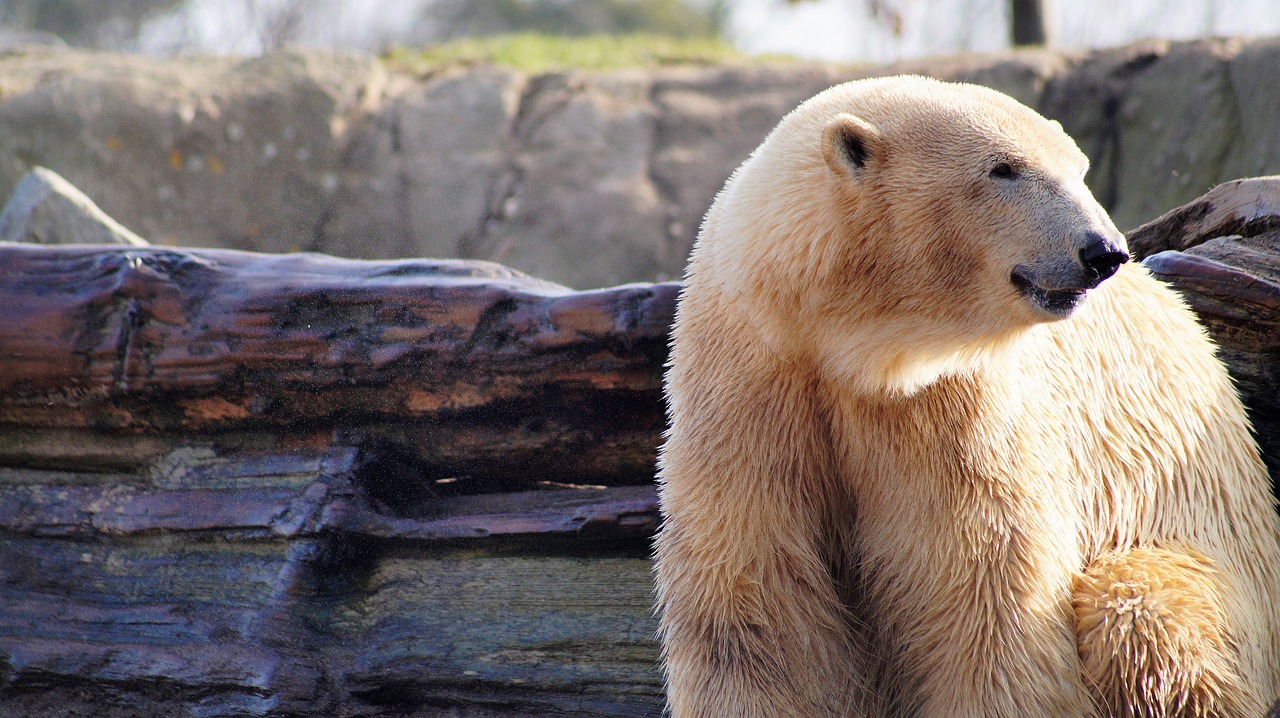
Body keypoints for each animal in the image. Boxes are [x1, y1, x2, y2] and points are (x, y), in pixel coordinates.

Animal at [652, 75, 1280, 718]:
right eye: (1005, 169)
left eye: (1078, 168)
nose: (1102, 251)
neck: (850, 345)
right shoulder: (752, 379)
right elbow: (754, 598)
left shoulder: (956, 404)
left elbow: (980, 585)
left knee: (1143, 615)